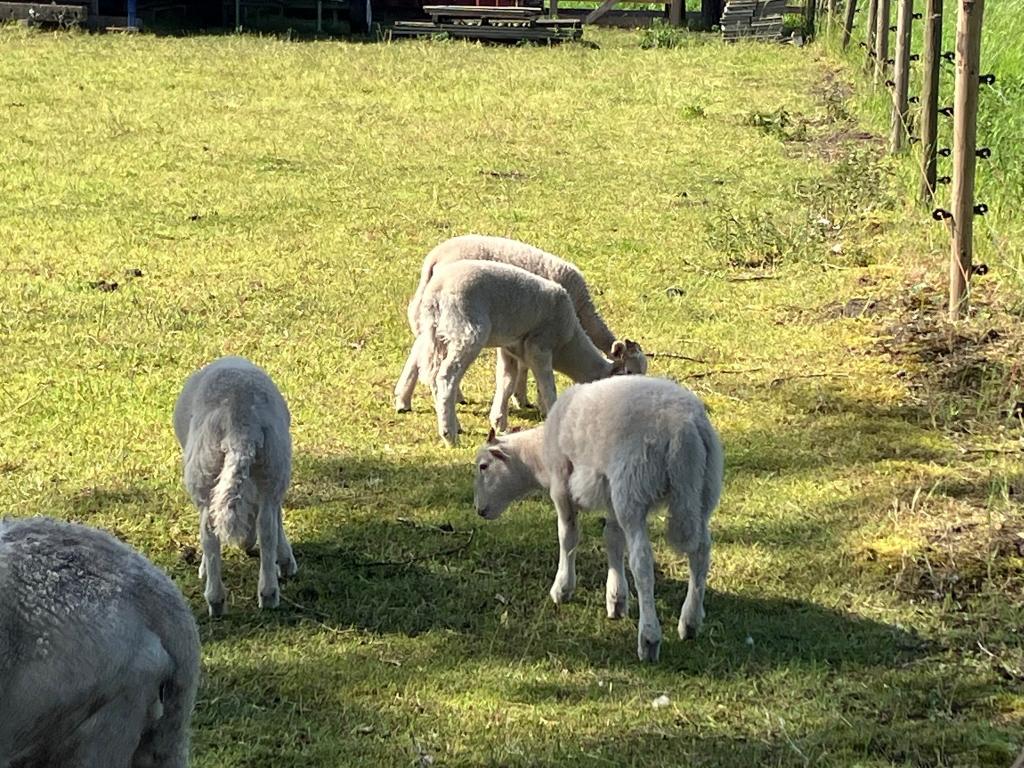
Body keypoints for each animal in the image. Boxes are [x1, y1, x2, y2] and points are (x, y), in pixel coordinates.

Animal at [173, 355, 297, 617]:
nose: (245, 546)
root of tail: (241, 423)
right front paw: (285, 561)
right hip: (272, 462)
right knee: (266, 526)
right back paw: (265, 594)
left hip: (204, 469)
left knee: (211, 531)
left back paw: (217, 598)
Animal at [394, 234, 645, 413]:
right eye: (630, 371)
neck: (581, 310)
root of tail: (434, 258)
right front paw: (531, 401)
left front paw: (521, 397)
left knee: (420, 350)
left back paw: (403, 400)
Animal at [410, 260, 647, 446]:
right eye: (628, 373)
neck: (567, 343)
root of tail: (435, 292)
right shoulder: (539, 347)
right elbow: (547, 387)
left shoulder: (511, 348)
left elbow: (506, 382)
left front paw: (499, 423)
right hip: (466, 331)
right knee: (446, 376)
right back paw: (449, 434)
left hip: (438, 335)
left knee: (434, 375)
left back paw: (453, 424)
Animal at [472, 376, 723, 662]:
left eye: (483, 466)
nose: (478, 510)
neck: (539, 457)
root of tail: (685, 429)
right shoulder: (609, 494)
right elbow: (612, 540)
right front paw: (616, 599)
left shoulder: (562, 485)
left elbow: (568, 536)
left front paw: (562, 588)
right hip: (703, 489)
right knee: (701, 552)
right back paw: (690, 621)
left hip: (633, 487)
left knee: (642, 563)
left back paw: (649, 639)